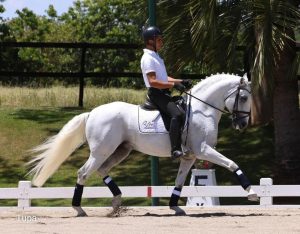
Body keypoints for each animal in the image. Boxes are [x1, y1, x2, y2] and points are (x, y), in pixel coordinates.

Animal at [27, 73, 258, 216]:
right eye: (243, 97)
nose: (242, 124)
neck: (202, 110)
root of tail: (92, 113)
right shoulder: (204, 151)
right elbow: (232, 164)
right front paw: (251, 192)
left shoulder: (190, 156)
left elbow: (179, 182)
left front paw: (175, 207)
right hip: (102, 151)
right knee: (83, 173)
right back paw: (79, 209)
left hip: (121, 150)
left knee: (102, 170)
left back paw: (117, 201)